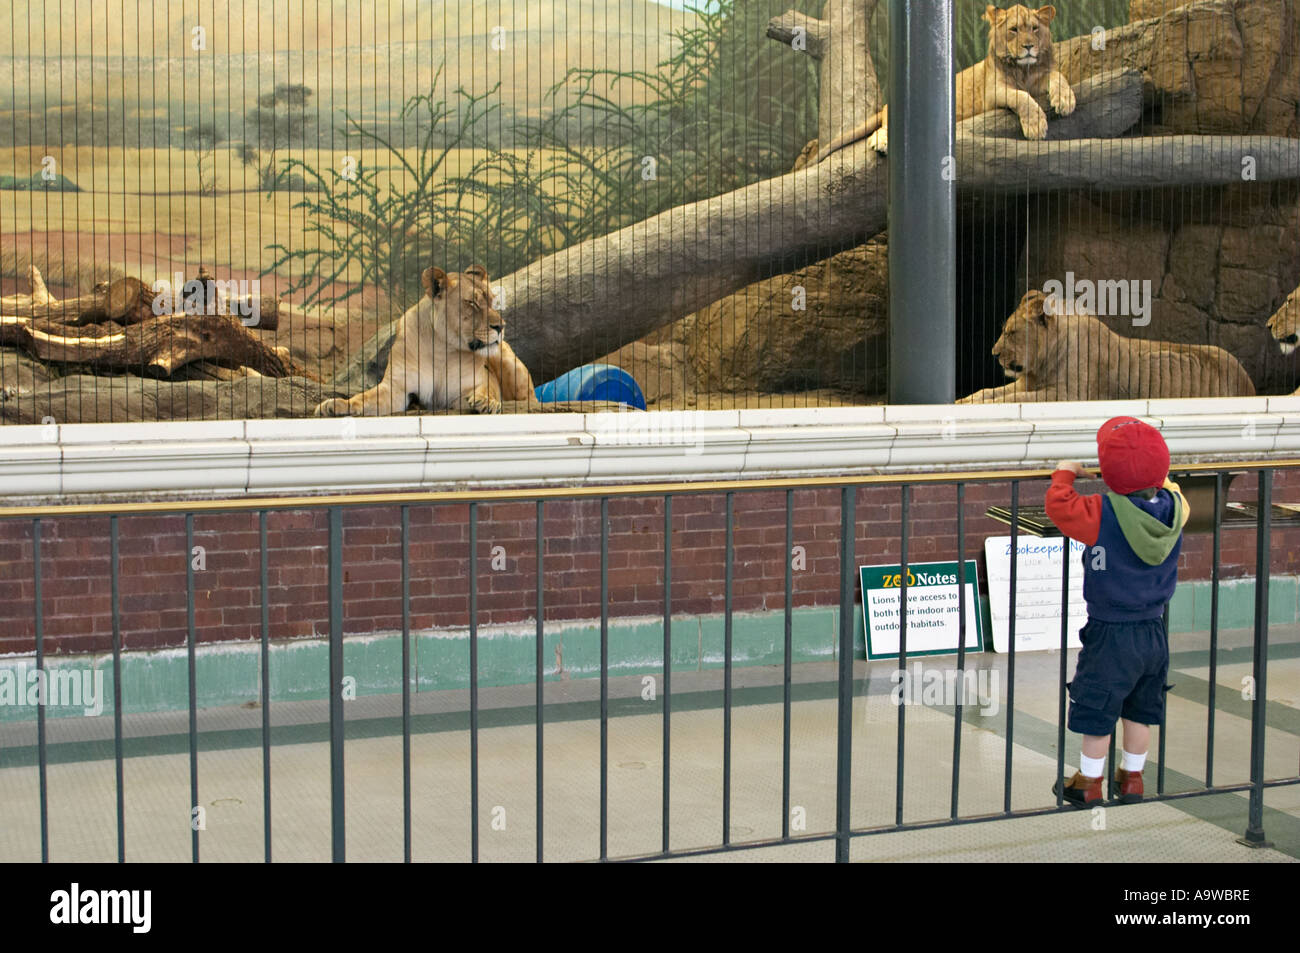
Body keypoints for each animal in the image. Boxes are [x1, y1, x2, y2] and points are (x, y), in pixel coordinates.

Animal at [956, 291, 1258, 403]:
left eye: (1011, 332)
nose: (994, 353)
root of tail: (1249, 384)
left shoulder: (1069, 395)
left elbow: (1011, 400)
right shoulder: (1025, 382)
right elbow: (989, 392)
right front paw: (963, 401)